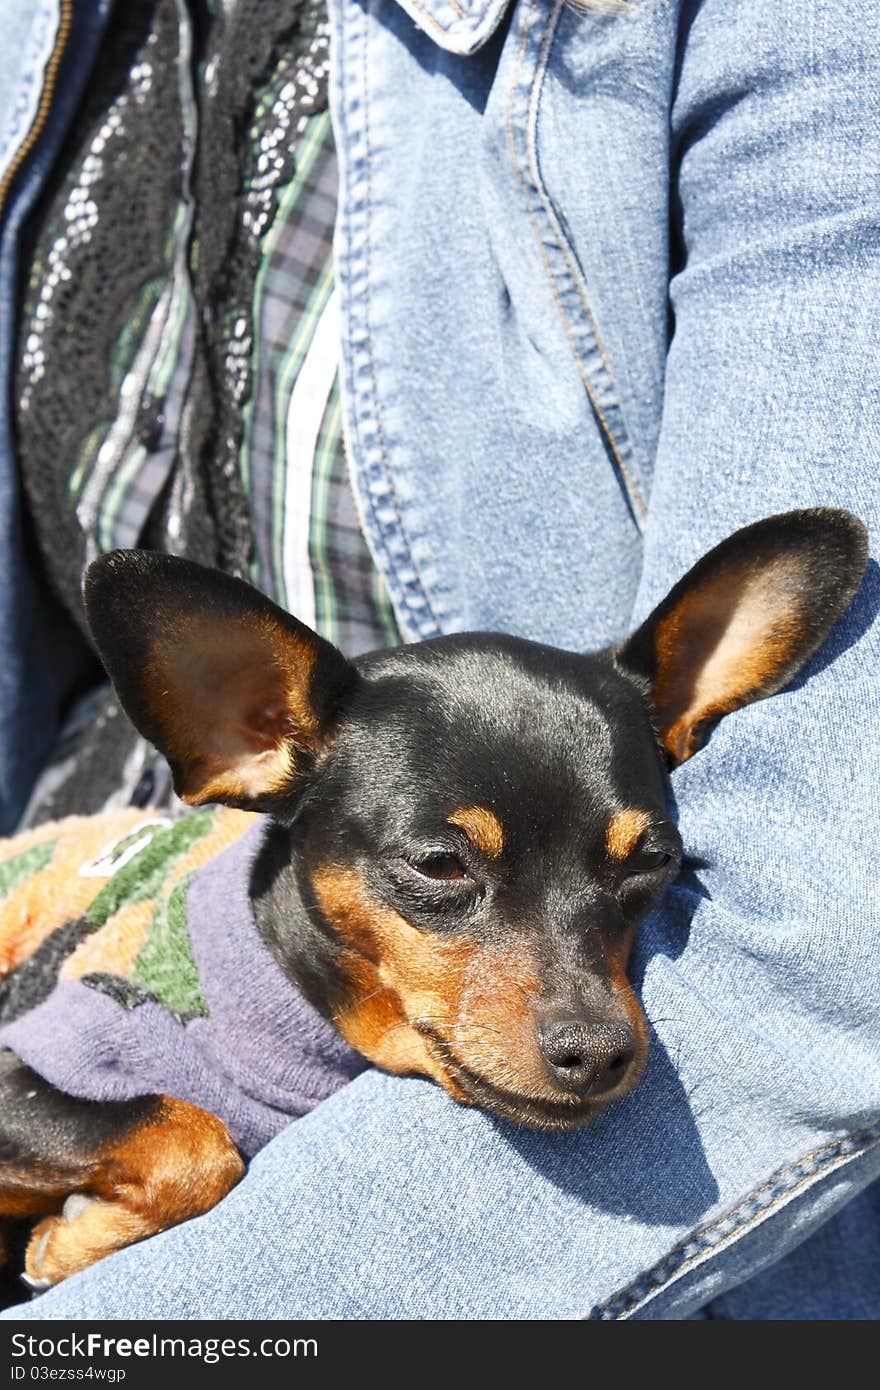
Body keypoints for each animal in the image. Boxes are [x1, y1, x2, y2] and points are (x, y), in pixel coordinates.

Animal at [0, 503, 867, 1289]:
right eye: (441, 865)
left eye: (652, 861)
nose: (598, 1051)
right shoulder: (34, 1066)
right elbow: (194, 1135)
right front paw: (72, 1243)